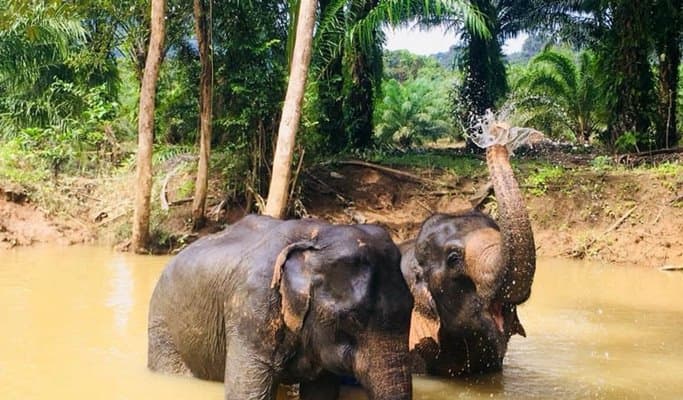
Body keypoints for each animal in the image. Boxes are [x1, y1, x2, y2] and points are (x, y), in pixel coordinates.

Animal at [147, 214, 414, 400]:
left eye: (411, 307)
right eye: (353, 317)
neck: (317, 235)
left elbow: (322, 391)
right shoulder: (251, 309)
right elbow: (247, 393)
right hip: (163, 328)